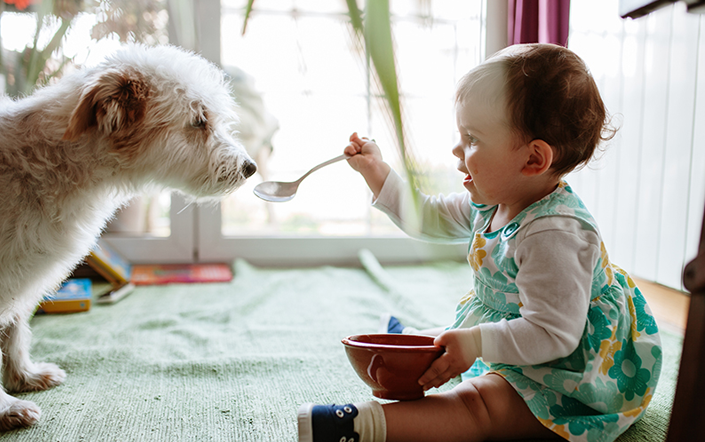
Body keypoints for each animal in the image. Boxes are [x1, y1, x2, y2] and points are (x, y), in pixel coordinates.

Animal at [0, 43, 256, 430]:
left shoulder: (22, 280)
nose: (250, 168)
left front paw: (23, 376)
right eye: (199, 121)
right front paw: (6, 407)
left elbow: (15, 332)